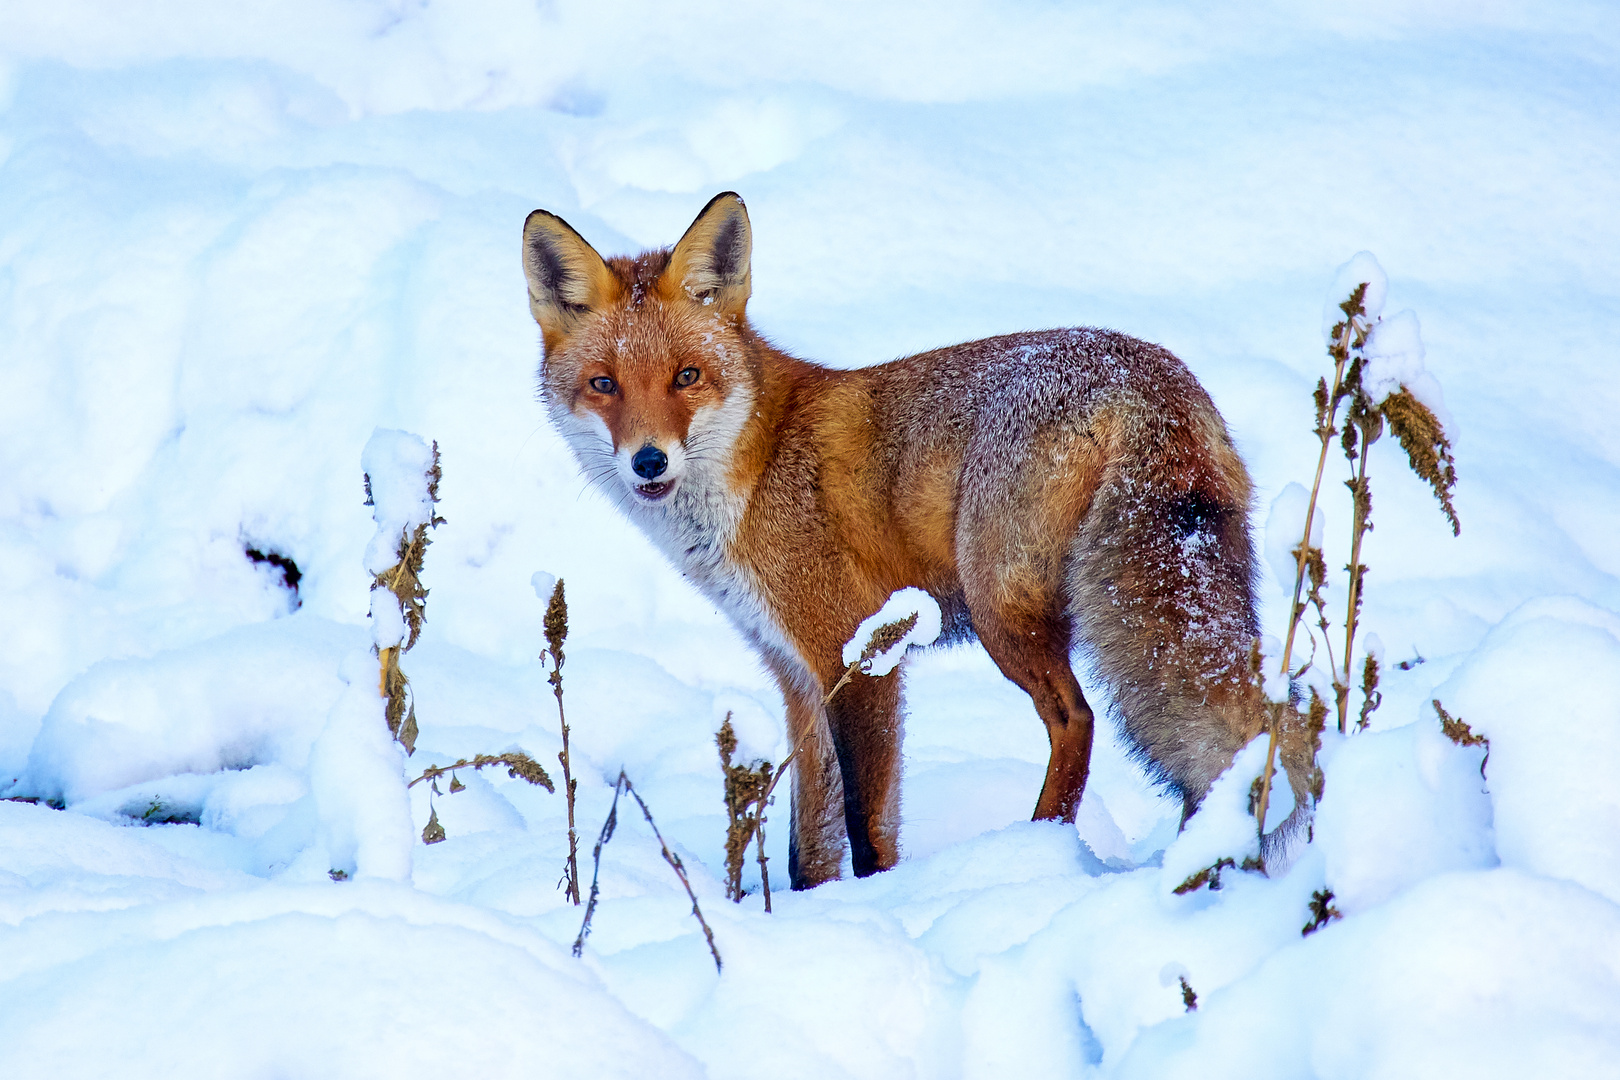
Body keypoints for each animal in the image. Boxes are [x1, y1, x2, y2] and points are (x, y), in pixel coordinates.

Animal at [524, 191, 1308, 887]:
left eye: (687, 376)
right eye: (604, 384)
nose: (648, 461)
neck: (758, 461)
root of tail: (1144, 382)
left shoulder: (858, 652)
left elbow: (867, 828)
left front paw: (880, 904)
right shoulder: (795, 674)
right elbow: (808, 846)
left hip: (1001, 611)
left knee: (1076, 720)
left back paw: (1035, 847)